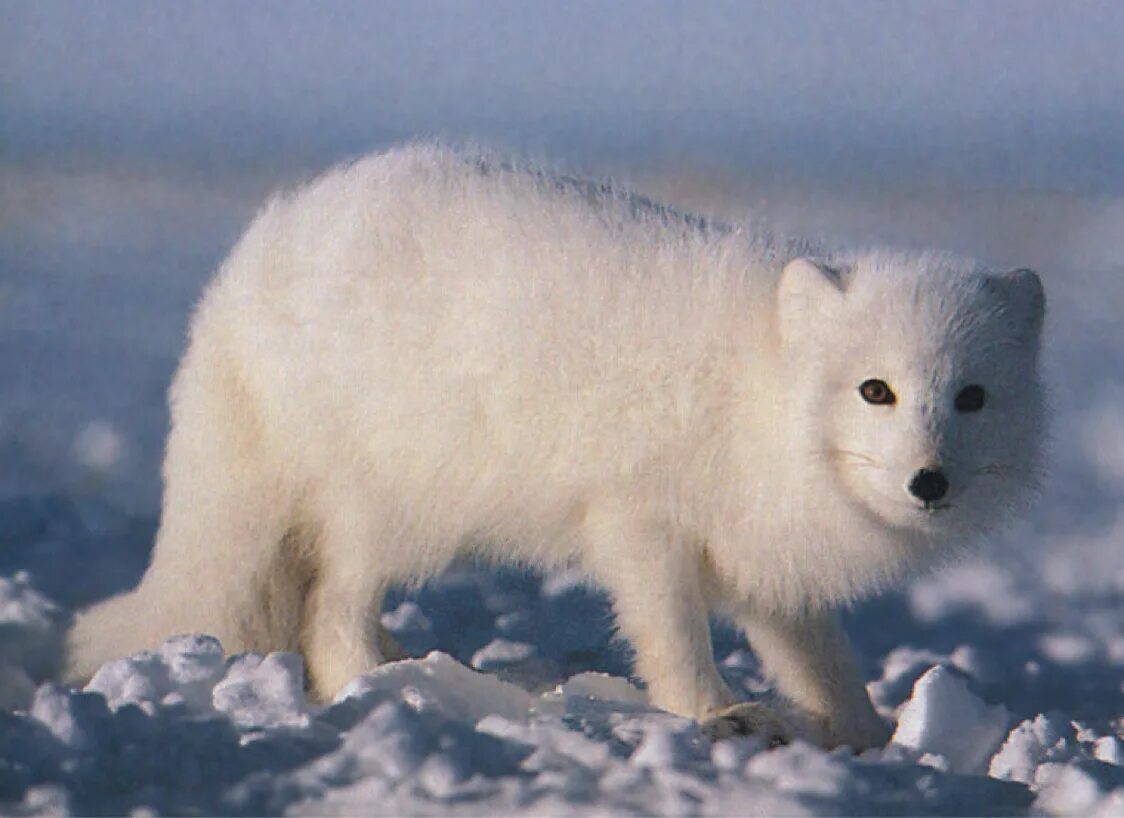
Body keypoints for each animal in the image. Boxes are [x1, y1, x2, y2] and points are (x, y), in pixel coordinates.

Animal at [61, 142, 1043, 746]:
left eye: (972, 397)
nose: (928, 481)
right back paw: (386, 687)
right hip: (397, 500)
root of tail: (238, 279)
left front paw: (874, 737)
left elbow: (818, 655)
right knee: (328, 609)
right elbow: (671, 633)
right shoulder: (639, 522)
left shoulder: (757, 547)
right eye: (875, 390)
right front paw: (713, 718)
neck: (759, 397)